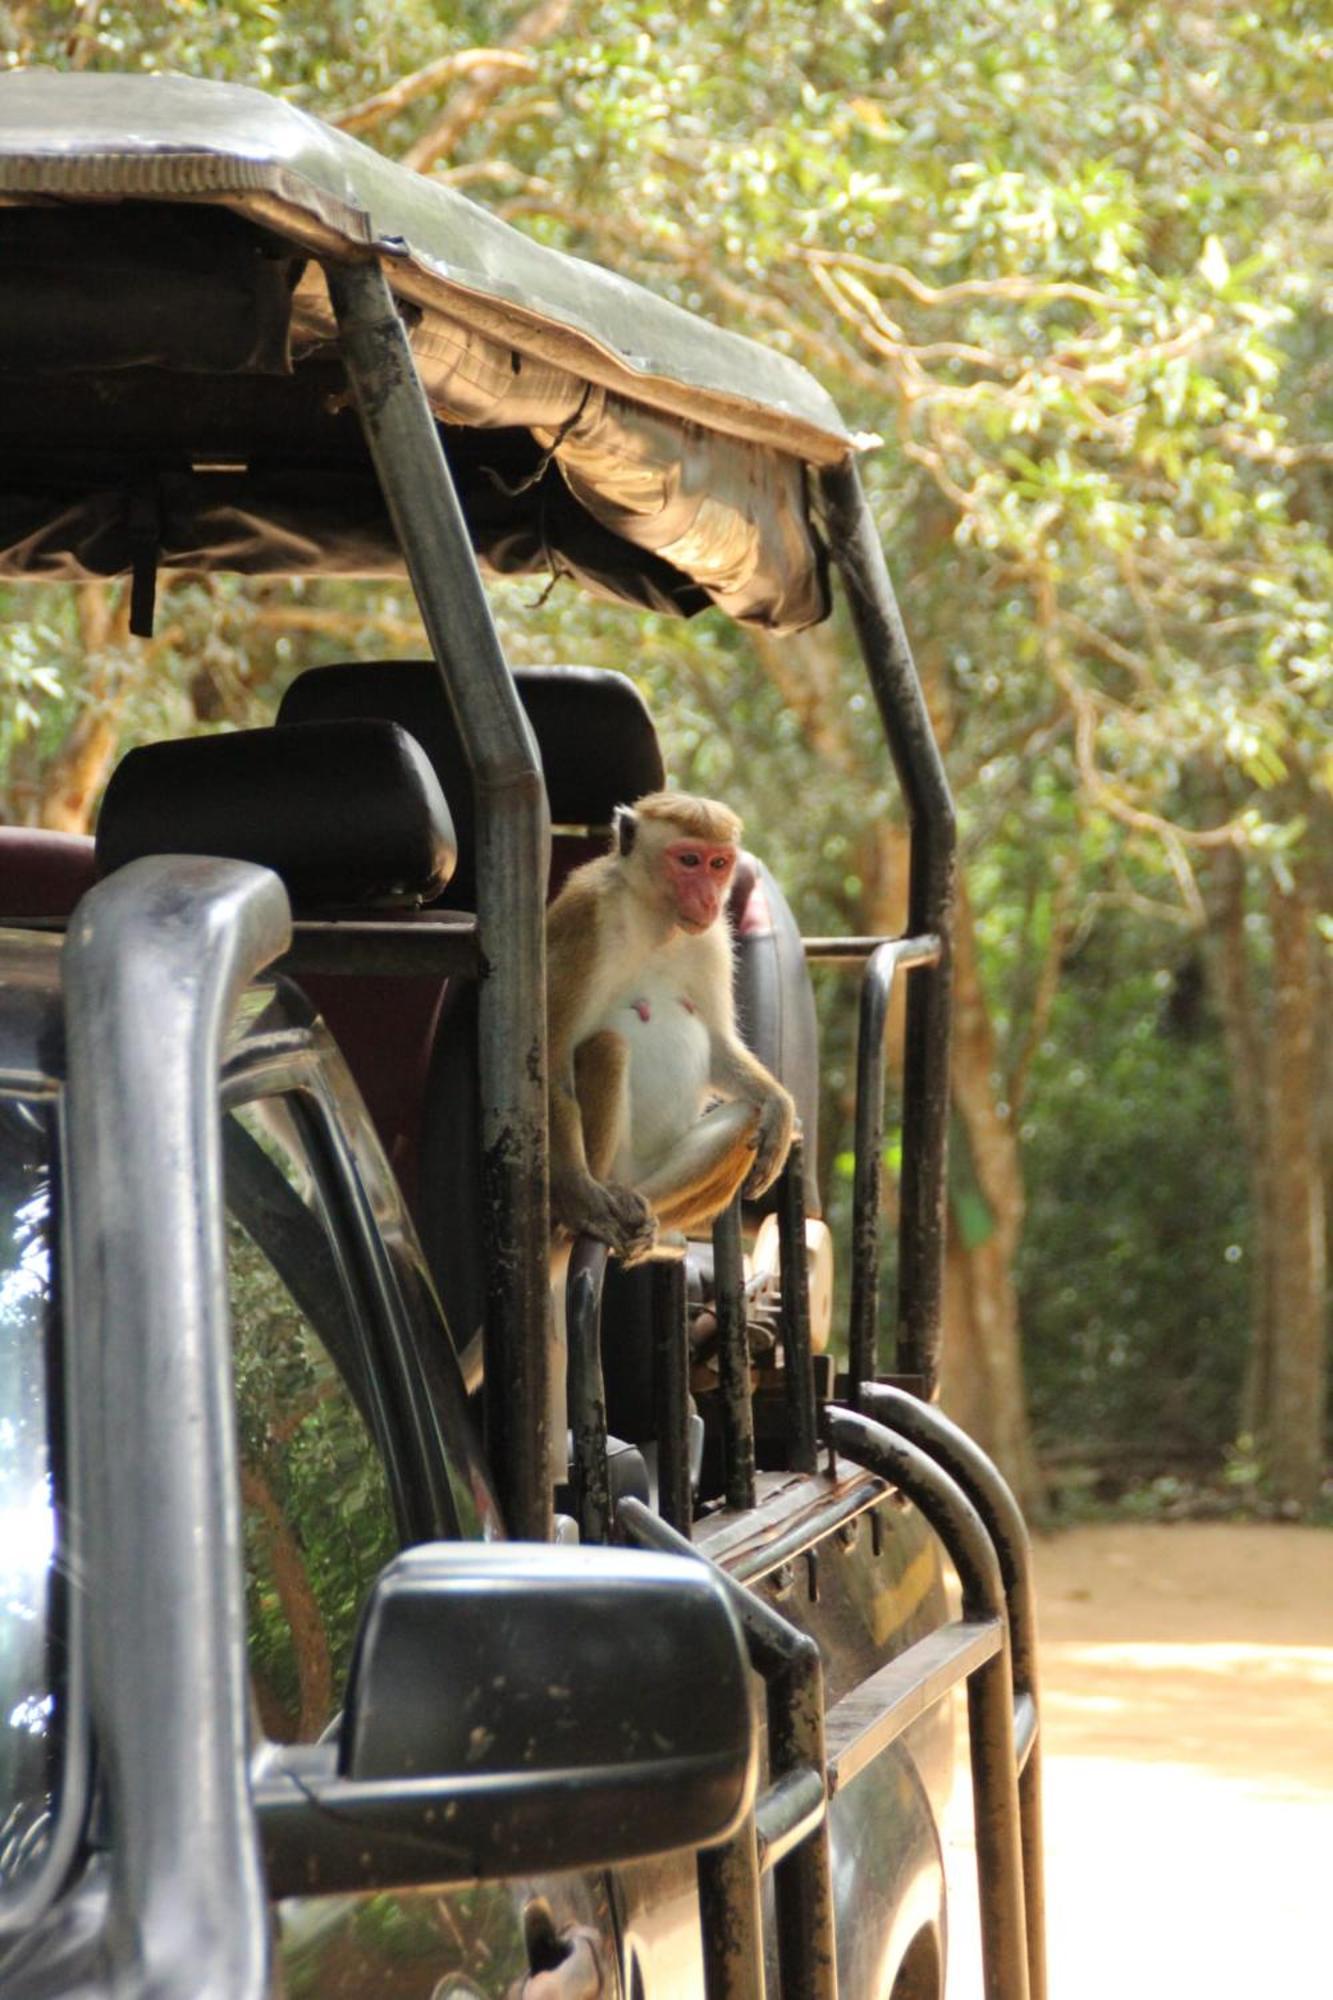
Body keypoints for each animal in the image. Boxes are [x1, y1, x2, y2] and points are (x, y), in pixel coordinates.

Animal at [544, 788, 788, 1256]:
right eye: (689, 860)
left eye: (718, 863)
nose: (710, 899)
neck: (656, 919)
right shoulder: (587, 917)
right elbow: (553, 1055)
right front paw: (581, 1197)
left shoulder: (712, 939)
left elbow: (718, 1046)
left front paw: (780, 1106)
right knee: (607, 1047)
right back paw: (584, 1211)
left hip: (650, 1174)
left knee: (746, 1119)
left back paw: (645, 1216)